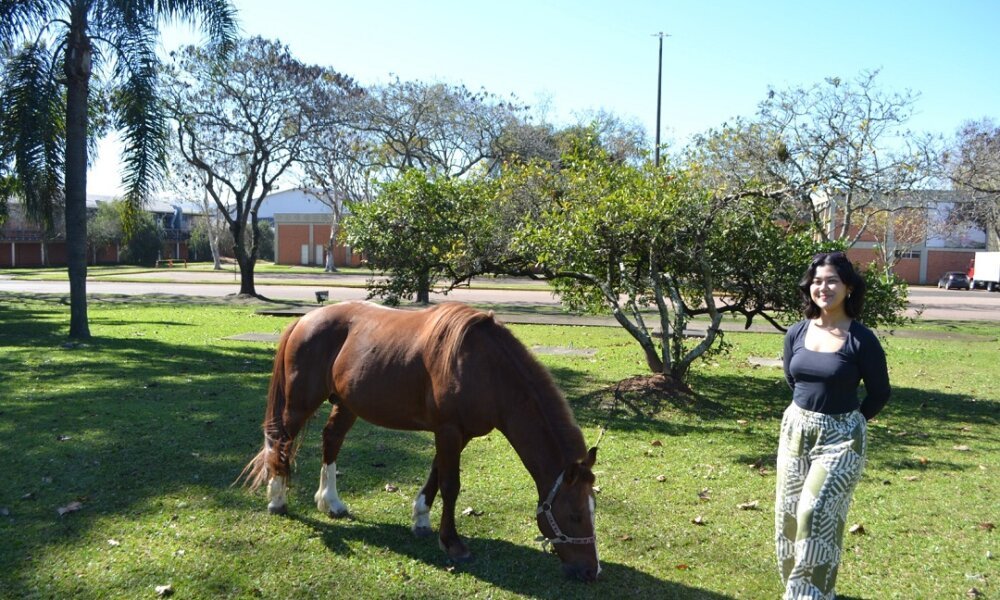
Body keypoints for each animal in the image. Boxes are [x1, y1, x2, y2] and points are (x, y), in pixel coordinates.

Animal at [241, 301, 601, 581]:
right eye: (575, 516)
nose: (591, 572)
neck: (486, 368)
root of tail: (304, 320)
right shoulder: (449, 430)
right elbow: (451, 484)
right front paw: (452, 542)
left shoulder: (459, 434)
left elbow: (436, 475)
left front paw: (421, 519)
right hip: (300, 403)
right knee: (281, 442)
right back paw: (277, 499)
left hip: (347, 403)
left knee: (332, 440)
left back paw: (331, 502)